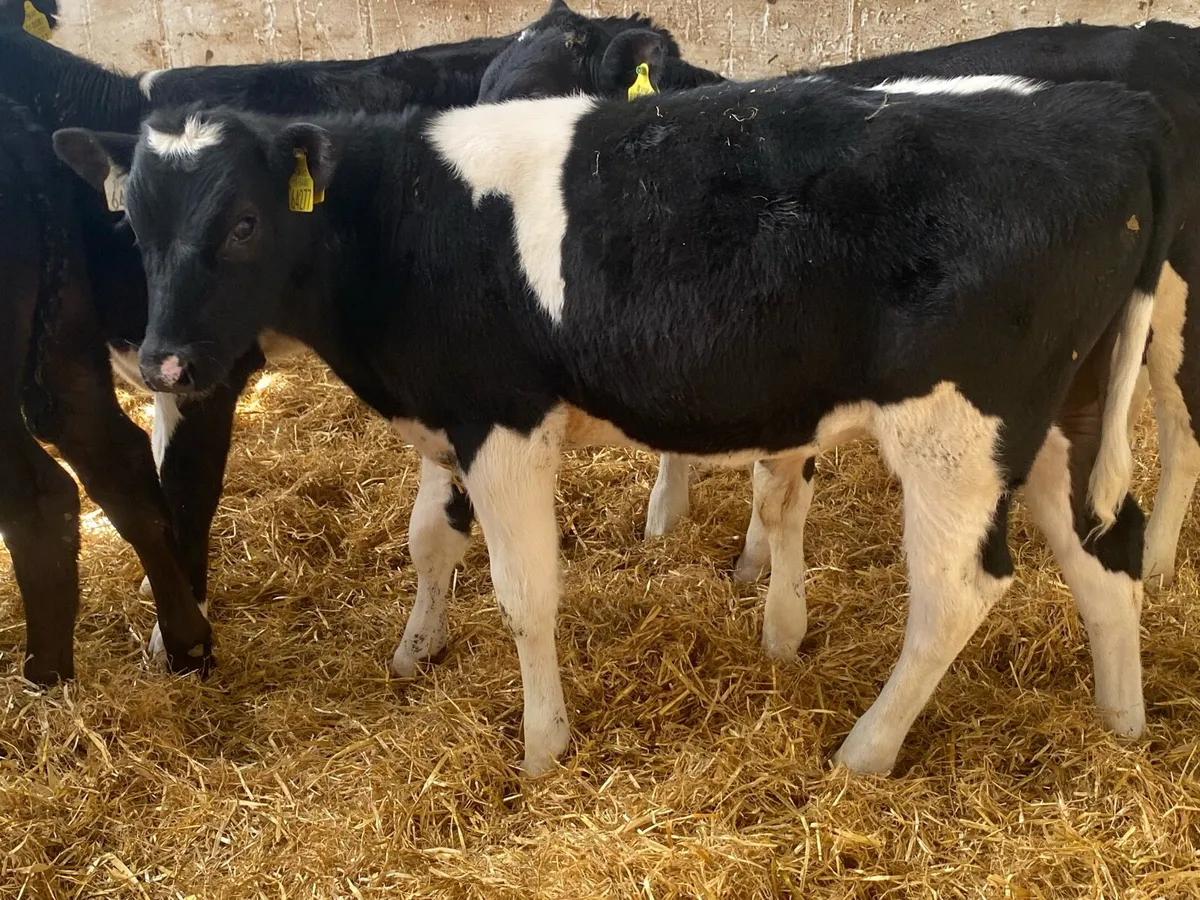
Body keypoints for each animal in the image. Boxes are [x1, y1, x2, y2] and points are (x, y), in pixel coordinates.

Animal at [55, 72, 1171, 774]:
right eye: (132, 223)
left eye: (244, 223)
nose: (162, 362)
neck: (405, 219)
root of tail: (1114, 116)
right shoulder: (448, 415)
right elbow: (427, 542)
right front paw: (417, 650)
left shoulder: (503, 420)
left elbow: (525, 595)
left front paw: (544, 745)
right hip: (1058, 418)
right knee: (1103, 548)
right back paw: (1120, 725)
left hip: (953, 431)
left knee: (955, 593)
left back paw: (863, 752)